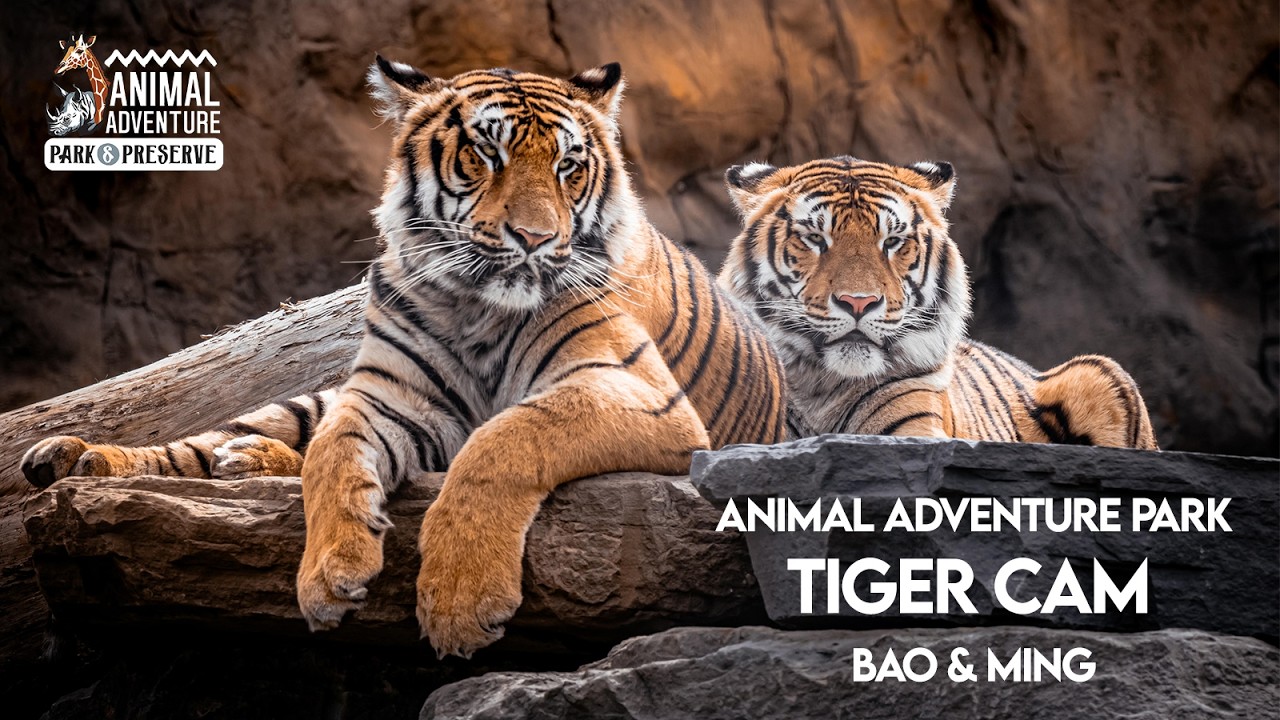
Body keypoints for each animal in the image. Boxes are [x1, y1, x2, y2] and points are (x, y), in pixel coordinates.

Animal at [20, 57, 787, 658]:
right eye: (486, 155)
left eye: (568, 166)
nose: (535, 239)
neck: (477, 306)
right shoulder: (389, 396)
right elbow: (334, 453)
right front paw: (329, 574)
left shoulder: (637, 392)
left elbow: (504, 438)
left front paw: (458, 601)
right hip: (303, 400)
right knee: (221, 442)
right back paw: (80, 458)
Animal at [716, 155, 1156, 450]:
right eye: (814, 239)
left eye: (893, 241)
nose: (858, 303)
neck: (822, 391)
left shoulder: (913, 433)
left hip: (1102, 371)